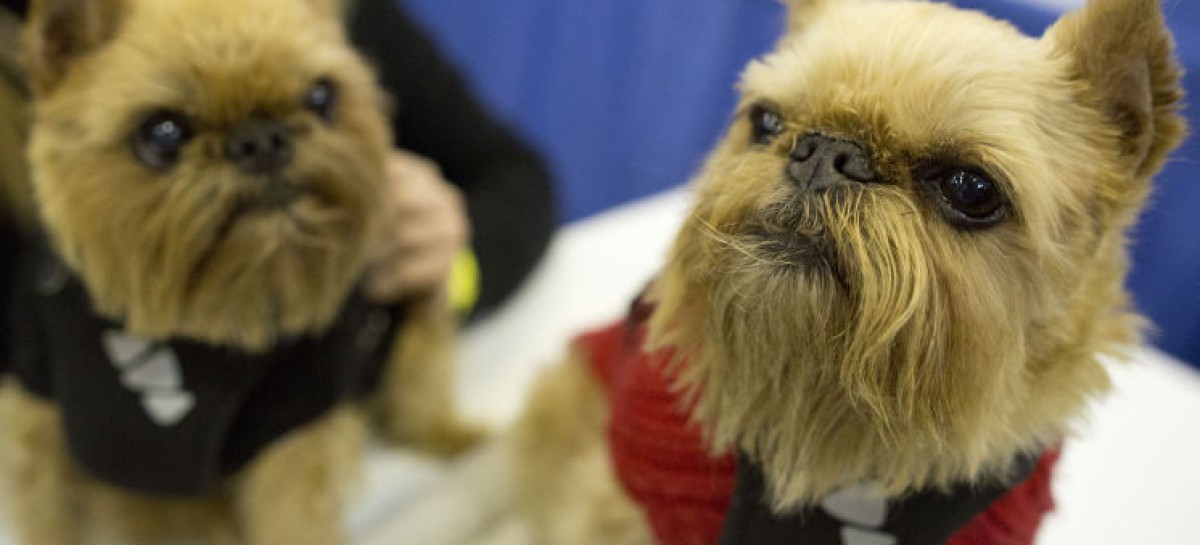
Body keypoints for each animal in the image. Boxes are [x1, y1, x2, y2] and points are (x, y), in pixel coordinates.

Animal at [0, 1, 475, 545]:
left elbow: (293, 518)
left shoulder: (293, 427)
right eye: (162, 134)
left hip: (417, 314)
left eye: (321, 98)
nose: (262, 138)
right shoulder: (53, 429)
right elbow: (50, 515)